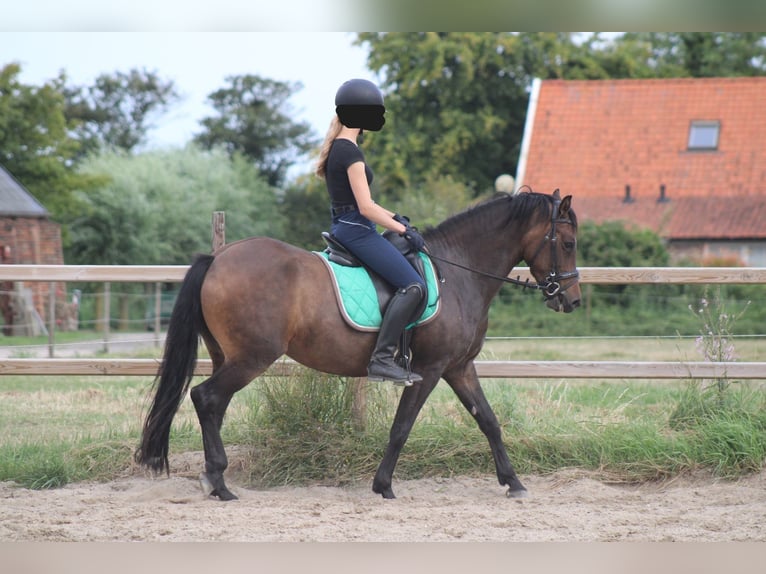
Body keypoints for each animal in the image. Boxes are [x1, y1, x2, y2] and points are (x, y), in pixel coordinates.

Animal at [138, 188, 584, 500]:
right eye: (568, 243)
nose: (572, 300)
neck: (459, 272)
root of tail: (218, 258)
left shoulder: (459, 367)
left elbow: (488, 420)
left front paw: (513, 483)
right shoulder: (430, 369)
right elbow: (401, 427)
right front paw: (383, 485)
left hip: (228, 357)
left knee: (213, 405)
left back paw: (215, 479)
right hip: (251, 358)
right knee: (206, 398)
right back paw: (219, 483)